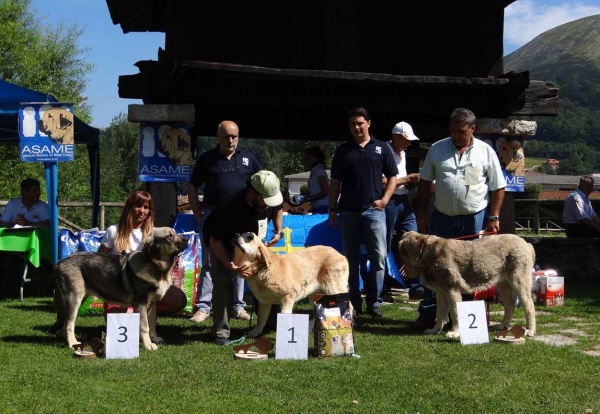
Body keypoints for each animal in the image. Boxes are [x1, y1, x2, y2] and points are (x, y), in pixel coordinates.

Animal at [54, 228, 190, 350]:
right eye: (169, 236)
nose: (187, 239)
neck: (156, 267)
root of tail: (59, 263)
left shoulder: (152, 303)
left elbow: (152, 323)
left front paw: (154, 339)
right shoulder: (141, 303)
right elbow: (145, 326)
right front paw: (148, 345)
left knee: (66, 322)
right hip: (75, 298)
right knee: (69, 324)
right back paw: (73, 343)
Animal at [398, 231, 536, 338]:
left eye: (403, 253)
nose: (403, 271)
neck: (429, 254)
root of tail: (527, 244)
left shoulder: (452, 291)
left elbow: (455, 313)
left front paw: (455, 333)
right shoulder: (440, 293)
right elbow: (440, 313)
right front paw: (435, 330)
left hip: (518, 282)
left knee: (528, 304)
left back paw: (530, 330)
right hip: (503, 284)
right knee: (510, 304)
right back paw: (503, 325)